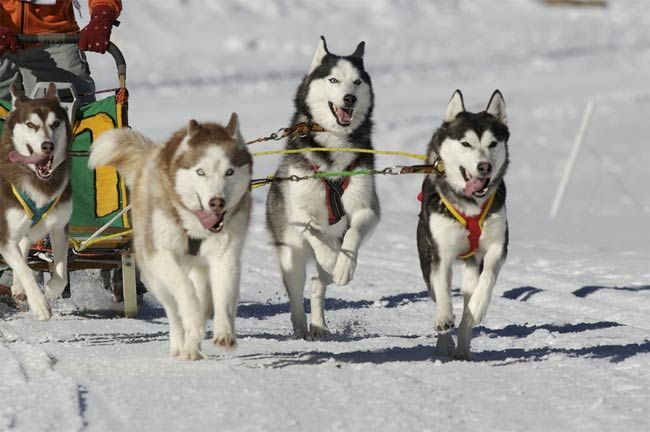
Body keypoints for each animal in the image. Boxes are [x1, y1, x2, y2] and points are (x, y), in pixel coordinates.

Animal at [90, 113, 252, 360]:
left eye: (229, 172)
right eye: (200, 171)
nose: (217, 202)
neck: (194, 226)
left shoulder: (225, 256)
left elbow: (223, 296)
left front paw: (224, 333)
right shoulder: (160, 254)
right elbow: (184, 290)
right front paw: (192, 320)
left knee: (203, 299)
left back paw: (192, 347)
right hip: (154, 278)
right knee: (174, 313)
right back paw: (180, 344)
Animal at [264, 36, 380, 340]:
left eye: (357, 82)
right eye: (333, 79)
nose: (349, 98)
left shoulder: (367, 209)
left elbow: (353, 232)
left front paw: (343, 265)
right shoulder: (299, 213)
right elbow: (314, 231)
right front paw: (330, 257)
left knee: (317, 285)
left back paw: (319, 325)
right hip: (291, 254)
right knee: (296, 293)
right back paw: (300, 328)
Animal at [416, 89, 512, 360]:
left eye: (492, 143)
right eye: (466, 143)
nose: (484, 166)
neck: (471, 205)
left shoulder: (498, 246)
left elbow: (488, 276)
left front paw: (478, 306)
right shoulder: (441, 254)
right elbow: (443, 291)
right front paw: (444, 319)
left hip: (471, 265)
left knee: (468, 301)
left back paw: (462, 347)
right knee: (438, 290)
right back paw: (445, 342)